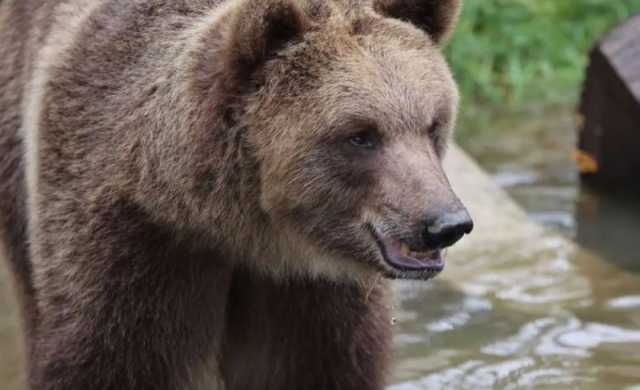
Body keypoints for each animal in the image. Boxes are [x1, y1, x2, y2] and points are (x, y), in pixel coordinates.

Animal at [0, 0, 470, 388]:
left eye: (432, 123)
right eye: (361, 135)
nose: (445, 223)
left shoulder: (313, 294)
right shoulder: (133, 242)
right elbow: (114, 360)